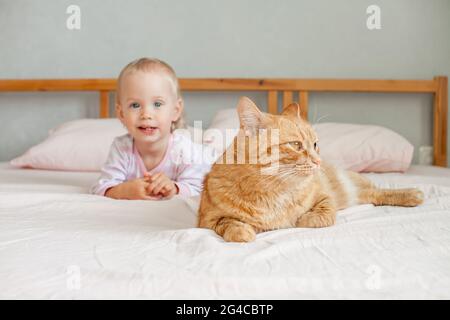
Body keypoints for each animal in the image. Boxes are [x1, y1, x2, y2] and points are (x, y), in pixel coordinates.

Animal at [198, 97, 426, 242]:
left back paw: (412, 194)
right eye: (296, 145)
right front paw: (242, 231)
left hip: (349, 185)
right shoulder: (206, 220)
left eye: (315, 144)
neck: (275, 192)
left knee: (376, 191)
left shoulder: (324, 196)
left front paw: (304, 219)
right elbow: (229, 224)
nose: (318, 161)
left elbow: (324, 214)